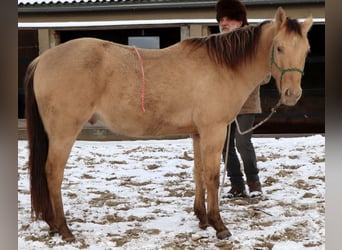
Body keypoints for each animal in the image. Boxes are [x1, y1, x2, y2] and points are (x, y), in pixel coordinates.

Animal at [24, 7, 312, 241]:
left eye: (306, 50)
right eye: (279, 48)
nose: (293, 94)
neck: (222, 67)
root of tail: (43, 59)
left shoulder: (198, 134)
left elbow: (198, 173)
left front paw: (202, 218)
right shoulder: (214, 131)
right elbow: (212, 175)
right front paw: (219, 225)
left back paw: (53, 225)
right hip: (64, 133)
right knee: (53, 173)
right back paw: (63, 229)